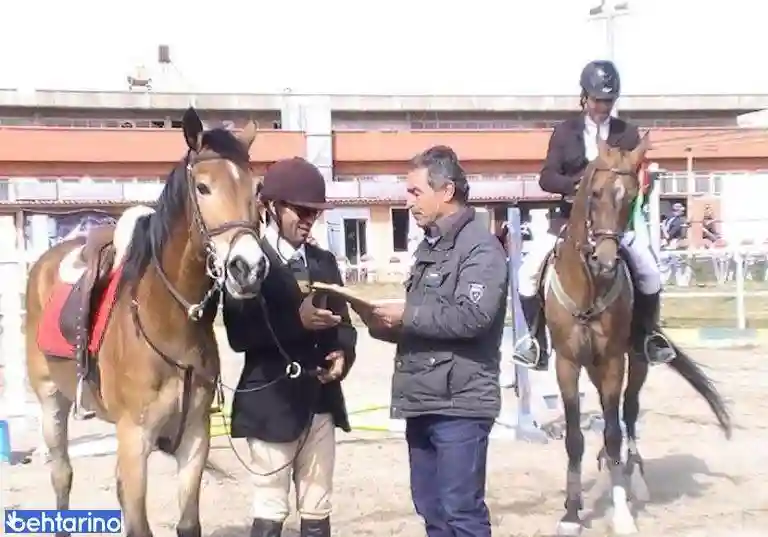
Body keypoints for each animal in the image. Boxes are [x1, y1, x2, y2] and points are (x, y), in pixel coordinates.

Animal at [25, 107, 269, 537]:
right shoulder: (134, 438)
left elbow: (187, 522)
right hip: (51, 399)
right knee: (62, 474)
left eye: (256, 189)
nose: (249, 268)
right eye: (203, 187)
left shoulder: (195, 437)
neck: (169, 324)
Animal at [541, 134, 732, 536]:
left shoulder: (615, 361)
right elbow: (575, 438)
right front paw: (571, 513)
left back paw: (635, 479)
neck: (589, 288)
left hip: (636, 360)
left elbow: (615, 432)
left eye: (630, 198)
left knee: (627, 413)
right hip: (592, 365)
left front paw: (622, 513)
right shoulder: (567, 363)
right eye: (594, 193)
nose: (605, 261)